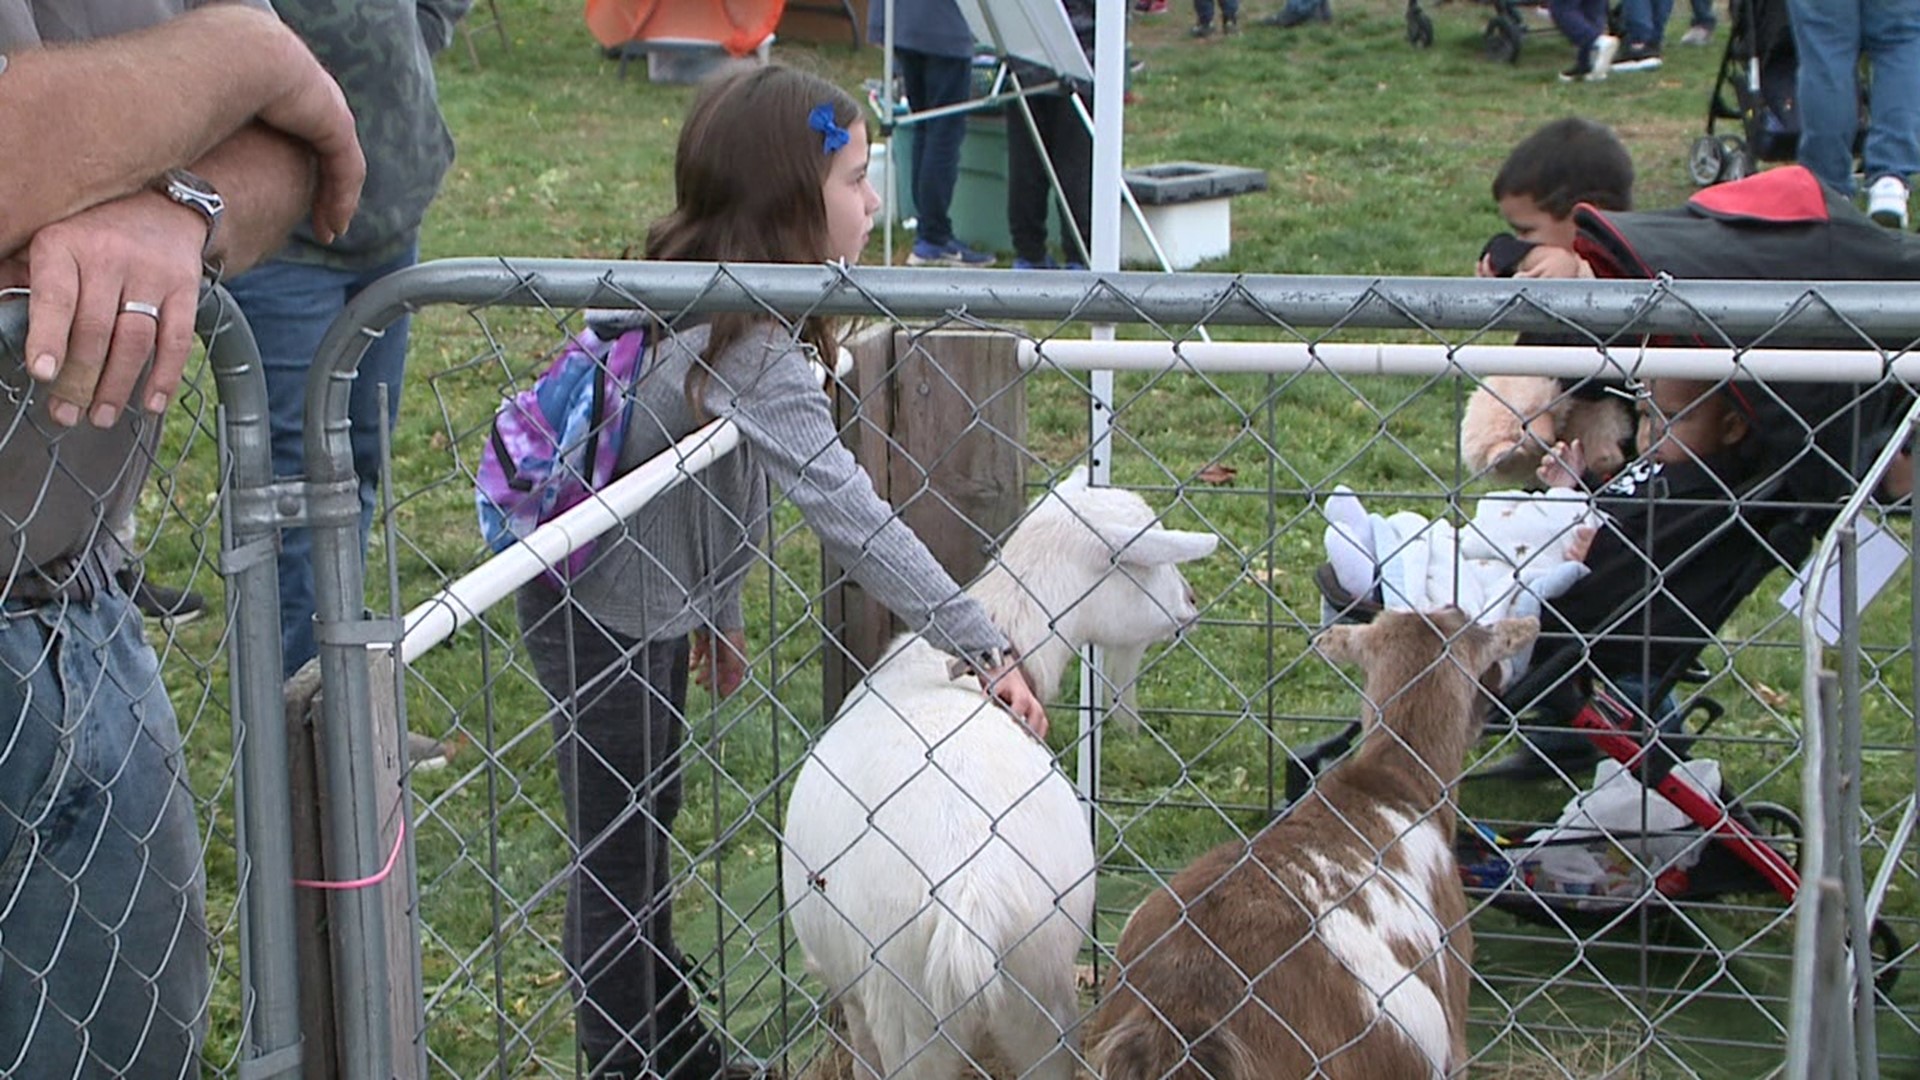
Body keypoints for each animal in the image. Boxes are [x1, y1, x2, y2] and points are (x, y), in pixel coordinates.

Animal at [779, 476, 1213, 1076]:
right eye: (1144, 561)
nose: (1191, 602)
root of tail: (972, 893)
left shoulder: (856, 997)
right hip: (1037, 993)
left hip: (916, 1010)